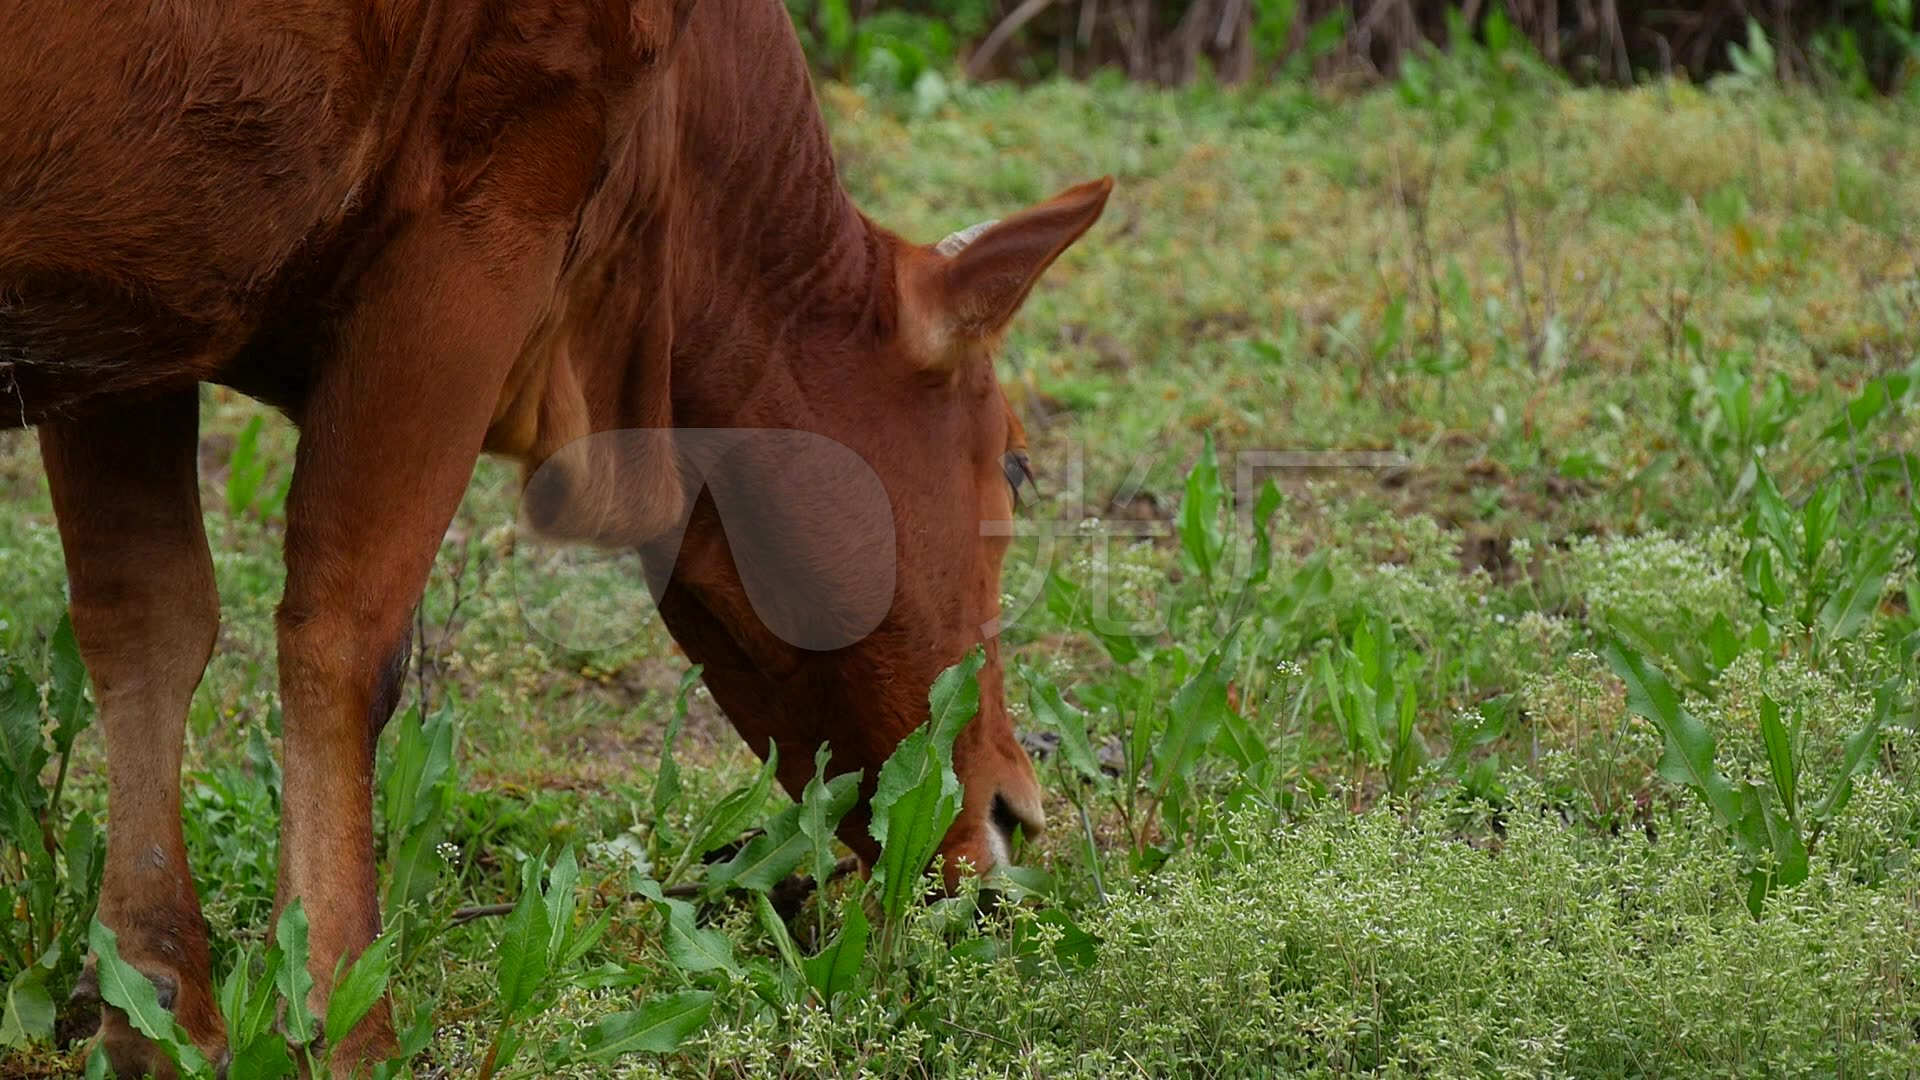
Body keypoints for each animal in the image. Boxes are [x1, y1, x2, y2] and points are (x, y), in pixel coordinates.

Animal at [0, 0, 1113, 1068]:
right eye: (1017, 464)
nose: (1018, 812)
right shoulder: (479, 224)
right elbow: (348, 640)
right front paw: (344, 1014)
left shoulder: (136, 309)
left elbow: (148, 622)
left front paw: (157, 1000)